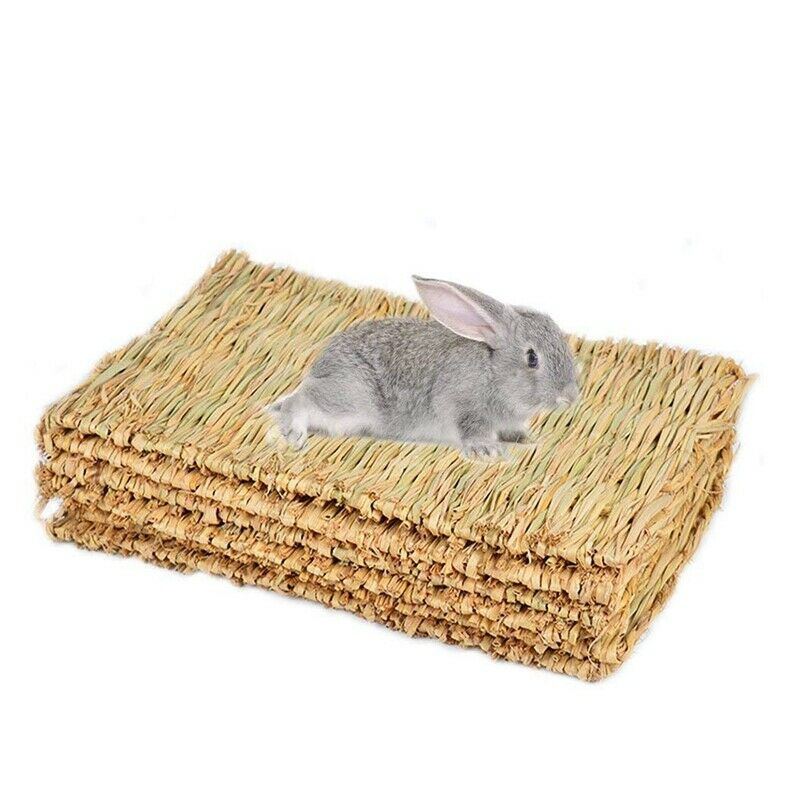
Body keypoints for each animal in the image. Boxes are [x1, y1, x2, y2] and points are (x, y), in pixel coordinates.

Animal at [267, 276, 580, 458]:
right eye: (532, 358)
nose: (571, 396)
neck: (495, 372)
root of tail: (320, 367)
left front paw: (527, 439)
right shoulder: (463, 405)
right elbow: (471, 428)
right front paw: (486, 450)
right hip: (350, 399)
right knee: (300, 401)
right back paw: (294, 434)